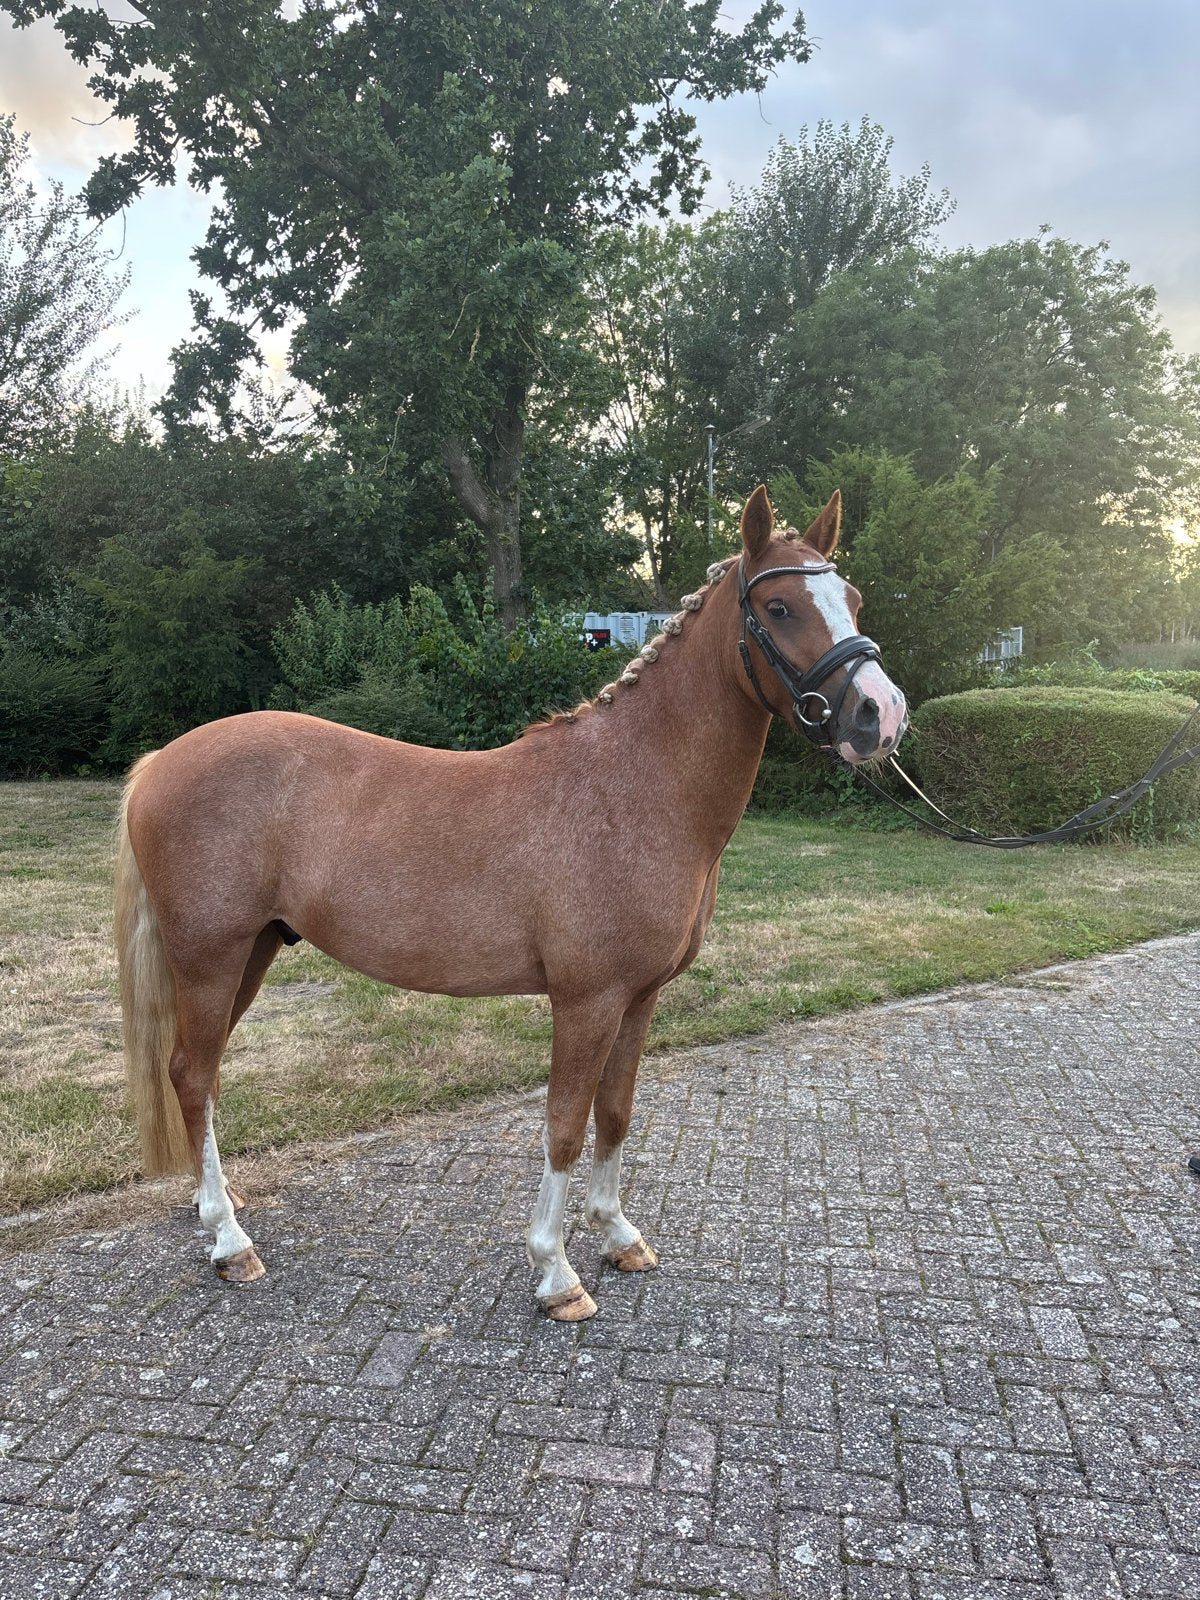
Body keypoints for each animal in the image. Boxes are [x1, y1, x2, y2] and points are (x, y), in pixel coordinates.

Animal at [114, 485, 907, 1320]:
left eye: (853, 599)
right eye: (780, 607)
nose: (880, 715)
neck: (633, 788)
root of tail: (161, 762)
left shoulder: (640, 997)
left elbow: (615, 1112)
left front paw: (617, 1234)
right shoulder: (586, 1001)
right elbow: (564, 1125)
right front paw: (556, 1273)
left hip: (253, 952)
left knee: (199, 1077)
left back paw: (220, 1208)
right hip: (210, 957)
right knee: (191, 1075)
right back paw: (230, 1241)